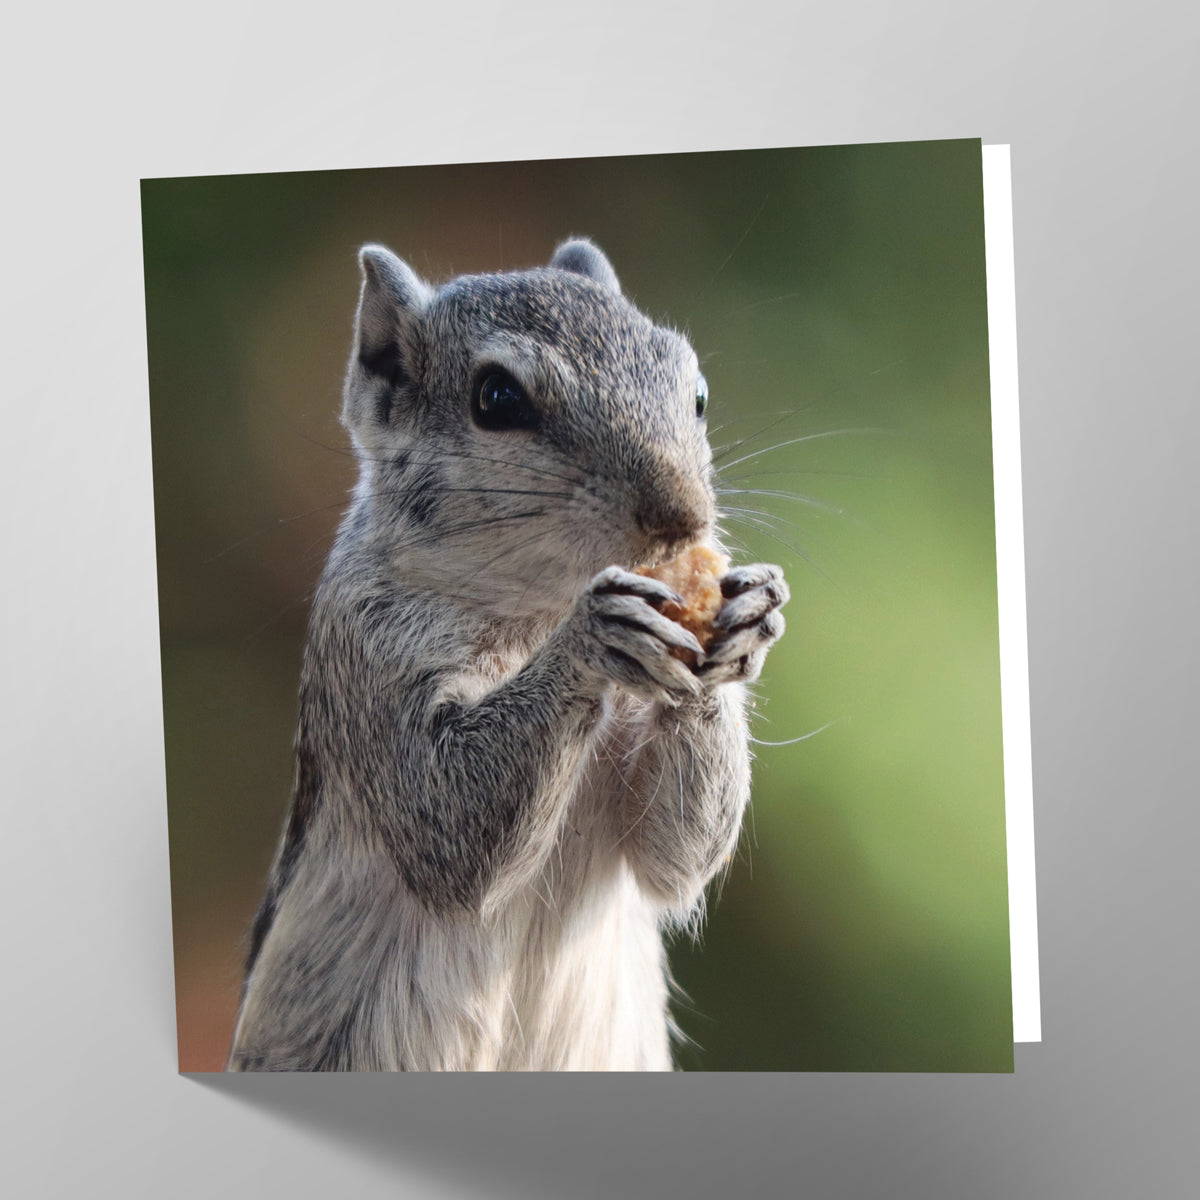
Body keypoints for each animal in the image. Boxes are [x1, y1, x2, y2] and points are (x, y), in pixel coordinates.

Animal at [226, 238, 789, 1071]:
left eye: (698, 395)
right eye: (496, 399)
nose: (683, 517)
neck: (533, 610)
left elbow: (676, 853)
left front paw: (747, 613)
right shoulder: (365, 658)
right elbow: (447, 821)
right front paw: (595, 634)